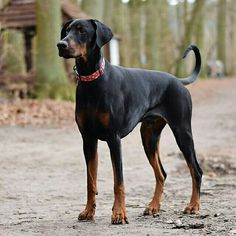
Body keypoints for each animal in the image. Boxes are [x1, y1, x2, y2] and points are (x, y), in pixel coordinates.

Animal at [56, 19, 203, 224]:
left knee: (196, 170)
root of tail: (178, 81)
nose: (61, 45)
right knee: (162, 174)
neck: (92, 81)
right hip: (149, 137)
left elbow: (119, 181)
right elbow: (90, 181)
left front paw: (119, 213)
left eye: (82, 31)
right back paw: (153, 206)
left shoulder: (114, 139)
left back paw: (193, 206)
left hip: (182, 132)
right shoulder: (88, 140)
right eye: (67, 31)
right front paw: (88, 212)